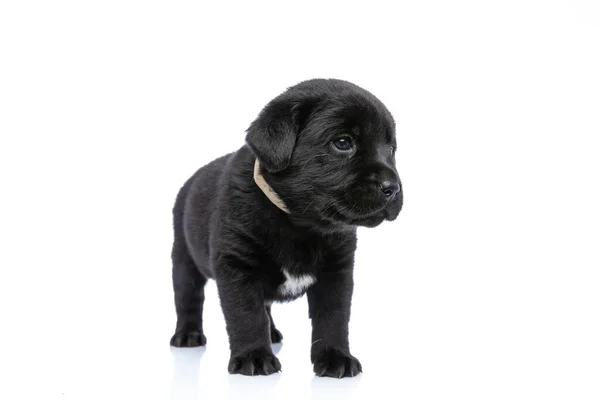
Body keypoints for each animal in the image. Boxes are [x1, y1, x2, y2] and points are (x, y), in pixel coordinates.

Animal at [169, 79, 404, 378]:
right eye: (342, 143)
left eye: (391, 149)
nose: (392, 188)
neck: (300, 224)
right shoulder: (237, 266)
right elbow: (246, 315)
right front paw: (254, 357)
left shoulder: (337, 272)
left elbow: (333, 318)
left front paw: (335, 357)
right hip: (183, 258)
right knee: (188, 298)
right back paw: (188, 335)